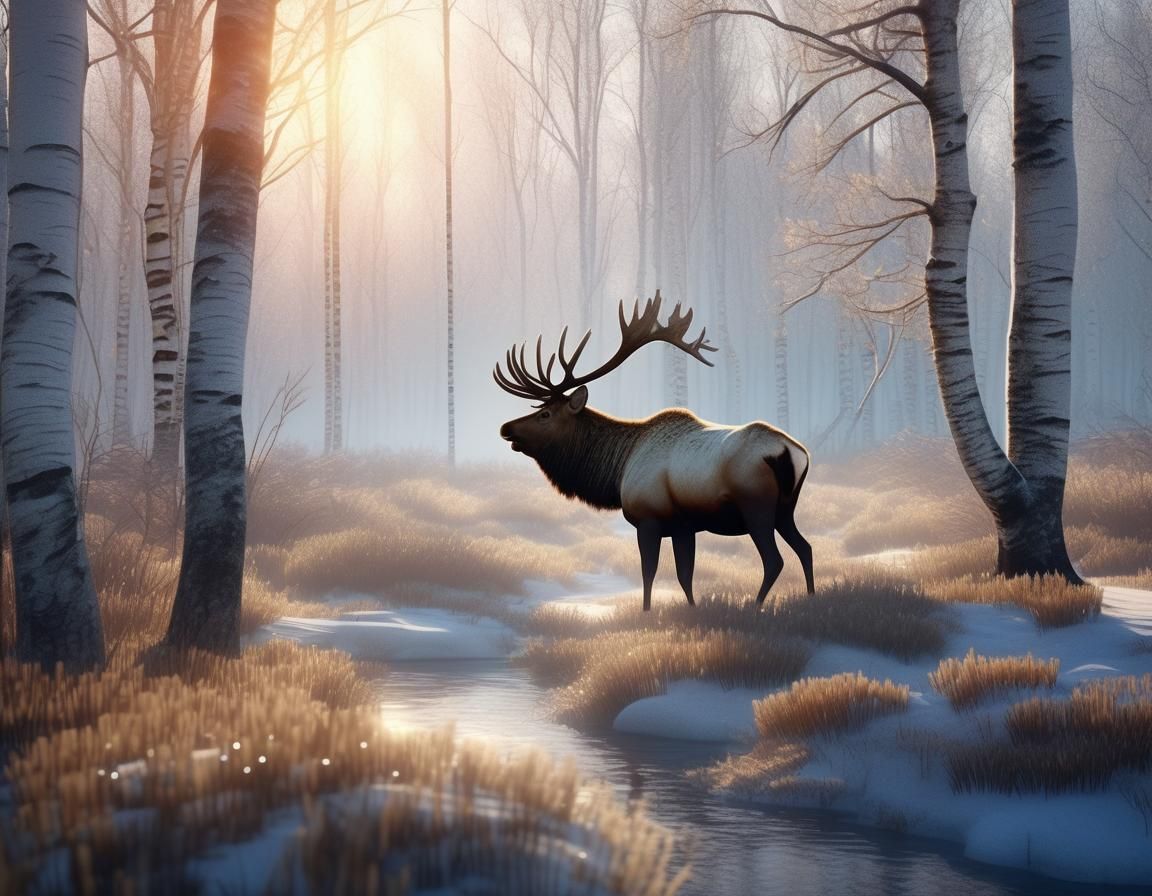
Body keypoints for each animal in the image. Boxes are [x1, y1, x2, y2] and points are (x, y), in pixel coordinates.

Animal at [495, 292, 814, 611]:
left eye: (545, 414)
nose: (505, 427)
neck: (619, 470)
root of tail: (793, 452)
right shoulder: (684, 526)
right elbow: (685, 576)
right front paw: (691, 609)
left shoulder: (648, 519)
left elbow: (649, 573)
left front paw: (647, 611)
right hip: (785, 509)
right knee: (806, 548)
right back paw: (810, 597)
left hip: (756, 506)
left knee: (774, 560)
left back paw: (756, 605)